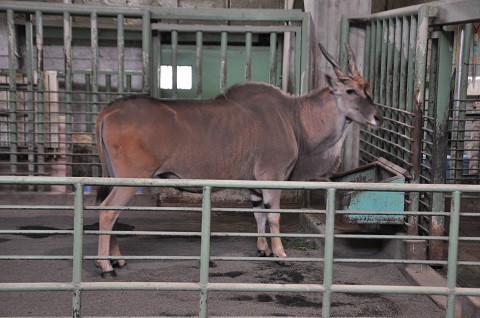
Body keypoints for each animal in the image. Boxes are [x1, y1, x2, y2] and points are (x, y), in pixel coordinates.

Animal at [94, 43, 382, 278]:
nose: (377, 117)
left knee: (112, 211)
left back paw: (116, 260)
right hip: (131, 179)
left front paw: (263, 250)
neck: (293, 117)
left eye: (367, 89)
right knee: (108, 210)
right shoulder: (273, 177)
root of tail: (108, 111)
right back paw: (106, 266)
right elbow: (273, 215)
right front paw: (281, 255)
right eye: (350, 90)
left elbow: (259, 214)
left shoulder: (256, 183)